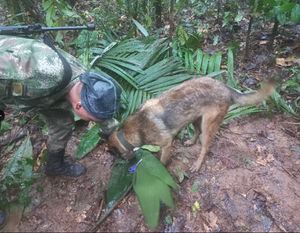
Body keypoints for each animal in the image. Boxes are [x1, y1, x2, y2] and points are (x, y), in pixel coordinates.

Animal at [108, 75, 274, 172]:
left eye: (116, 155)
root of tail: (227, 88)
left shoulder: (167, 144)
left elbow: (162, 161)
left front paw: (161, 168)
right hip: (195, 118)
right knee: (197, 132)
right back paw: (190, 142)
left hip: (208, 126)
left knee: (205, 147)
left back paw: (197, 165)